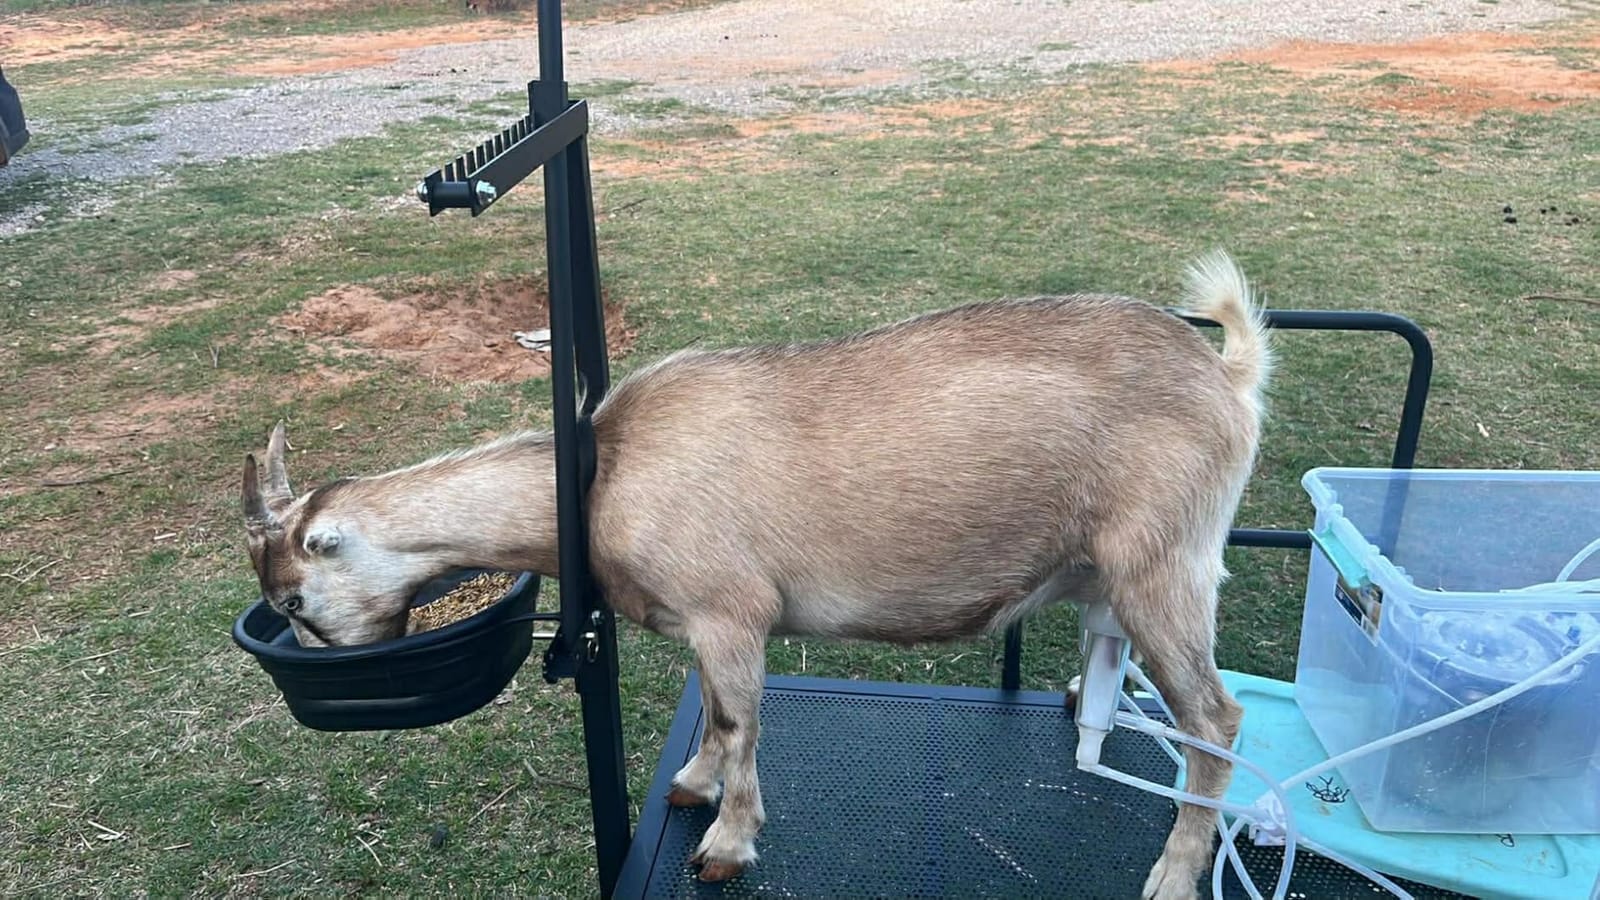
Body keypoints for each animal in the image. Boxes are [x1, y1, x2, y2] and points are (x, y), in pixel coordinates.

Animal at [241, 249, 1271, 900]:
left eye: (294, 595)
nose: (318, 656)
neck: (604, 472)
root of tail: (1228, 377)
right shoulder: (709, 624)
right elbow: (709, 706)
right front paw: (693, 786)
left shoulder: (732, 610)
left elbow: (739, 720)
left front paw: (727, 845)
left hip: (1162, 566)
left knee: (1216, 721)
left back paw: (1173, 876)